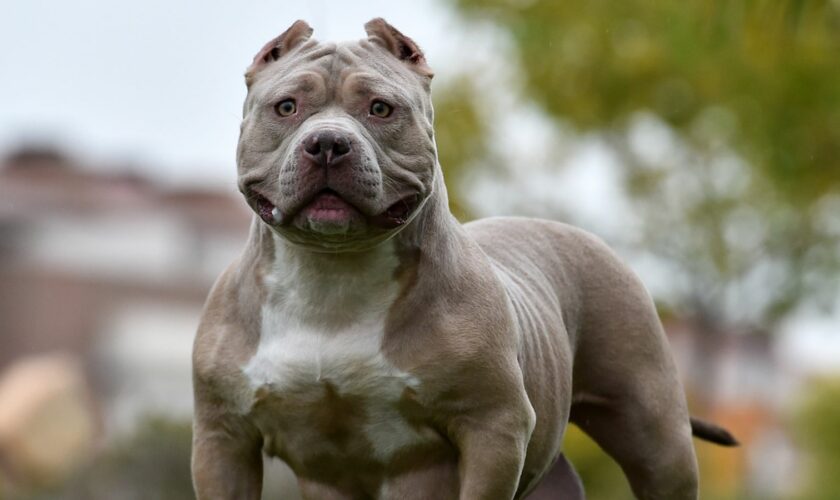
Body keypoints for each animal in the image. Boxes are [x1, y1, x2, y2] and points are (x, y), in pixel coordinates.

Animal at [190, 18, 736, 500]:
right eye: (286, 106)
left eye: (381, 109)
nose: (327, 142)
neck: (332, 275)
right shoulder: (223, 440)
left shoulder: (493, 427)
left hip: (656, 437)